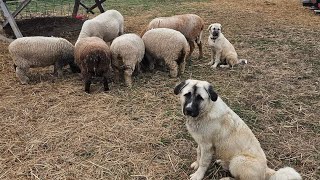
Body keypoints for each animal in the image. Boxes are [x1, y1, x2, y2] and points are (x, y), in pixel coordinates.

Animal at [174, 79, 302, 180]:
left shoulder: (207, 146)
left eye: (200, 98)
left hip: (238, 161)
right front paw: (196, 164)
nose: (189, 110)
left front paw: (198, 175)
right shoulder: (201, 142)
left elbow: (203, 162)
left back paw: (226, 178)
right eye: (187, 95)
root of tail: (266, 170)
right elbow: (198, 154)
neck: (206, 111)